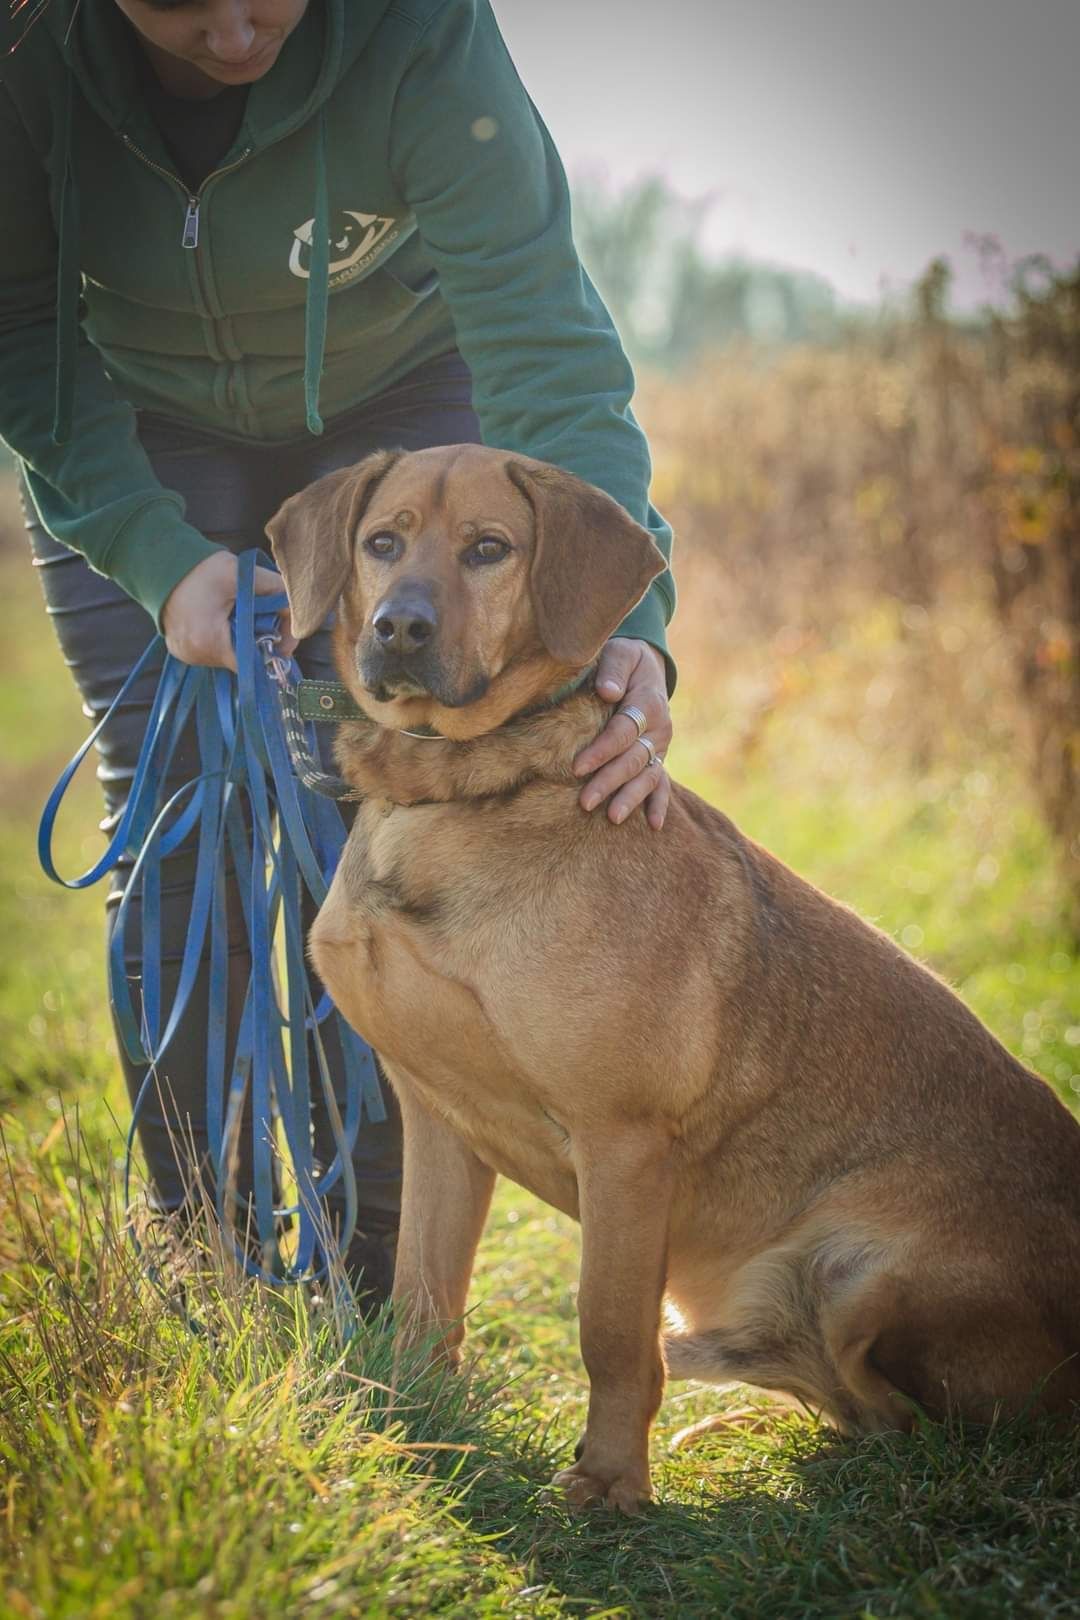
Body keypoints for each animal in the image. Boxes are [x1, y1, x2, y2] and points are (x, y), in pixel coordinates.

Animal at [268, 440, 1080, 1503]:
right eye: (381, 542)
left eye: (489, 548)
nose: (400, 626)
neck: (455, 796)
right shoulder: (437, 1119)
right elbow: (422, 1296)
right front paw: (411, 1430)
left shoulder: (625, 1144)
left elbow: (610, 1332)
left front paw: (611, 1486)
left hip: (862, 1276)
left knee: (909, 1423)